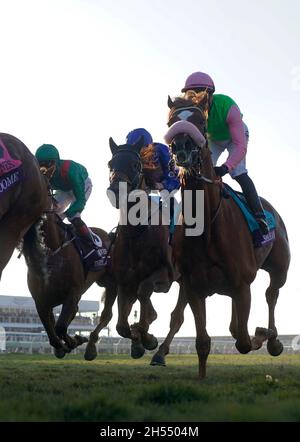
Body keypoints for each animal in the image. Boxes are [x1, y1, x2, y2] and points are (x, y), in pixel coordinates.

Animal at [21, 174, 116, 358]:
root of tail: (108, 235)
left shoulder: (72, 294)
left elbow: (60, 328)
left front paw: (76, 341)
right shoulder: (41, 302)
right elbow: (53, 334)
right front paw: (63, 346)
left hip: (111, 282)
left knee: (106, 315)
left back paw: (90, 347)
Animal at [106, 136, 176, 358]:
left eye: (135, 165)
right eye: (110, 164)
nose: (115, 191)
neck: (136, 233)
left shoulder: (164, 275)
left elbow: (144, 291)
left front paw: (147, 337)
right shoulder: (123, 280)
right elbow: (121, 326)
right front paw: (137, 340)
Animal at [151, 96, 290, 376]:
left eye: (201, 122)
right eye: (171, 122)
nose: (181, 146)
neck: (206, 227)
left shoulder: (242, 284)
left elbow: (245, 341)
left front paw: (264, 333)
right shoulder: (193, 286)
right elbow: (203, 341)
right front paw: (200, 377)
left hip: (279, 268)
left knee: (271, 294)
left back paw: (273, 339)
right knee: (234, 324)